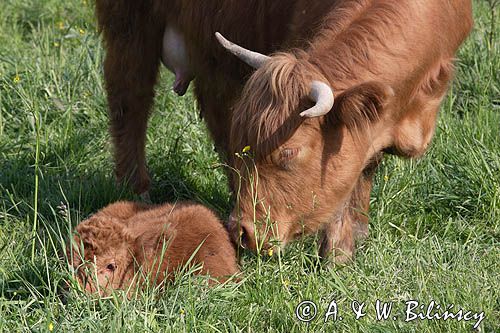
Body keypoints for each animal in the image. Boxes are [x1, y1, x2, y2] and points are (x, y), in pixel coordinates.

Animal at [96, 1, 472, 264]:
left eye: (288, 152)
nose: (243, 232)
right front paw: (336, 255)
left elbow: (362, 167)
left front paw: (355, 236)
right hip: (130, 27)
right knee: (130, 99)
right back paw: (136, 190)